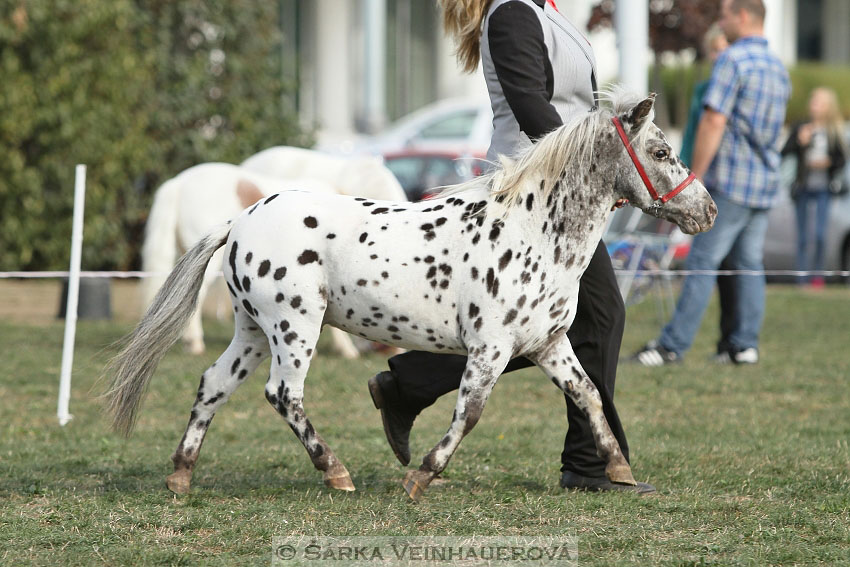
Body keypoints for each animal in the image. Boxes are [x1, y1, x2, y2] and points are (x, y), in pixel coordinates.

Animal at [104, 93, 716, 502]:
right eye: (661, 150)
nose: (706, 211)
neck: (532, 233)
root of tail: (239, 222)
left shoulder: (547, 344)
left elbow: (587, 395)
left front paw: (619, 471)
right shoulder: (491, 349)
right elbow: (470, 412)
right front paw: (421, 475)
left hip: (253, 330)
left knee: (213, 384)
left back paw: (181, 476)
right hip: (294, 326)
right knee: (283, 394)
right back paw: (336, 472)